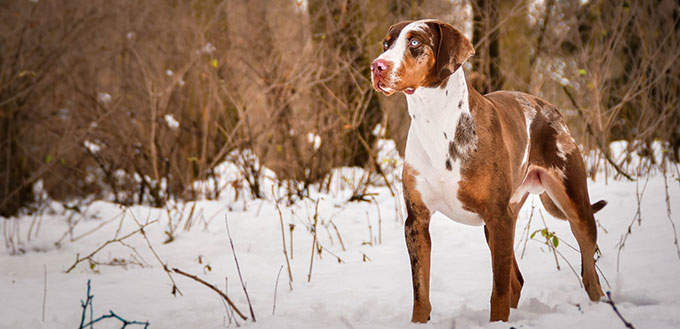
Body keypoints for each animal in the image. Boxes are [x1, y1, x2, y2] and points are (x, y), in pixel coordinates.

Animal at [372, 19, 604, 320]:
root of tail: (550, 108)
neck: (436, 121)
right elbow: (420, 293)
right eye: (386, 44)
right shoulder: (417, 221)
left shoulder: (497, 216)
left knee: (589, 273)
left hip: (574, 207)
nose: (377, 66)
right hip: (501, 221)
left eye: (414, 42)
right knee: (517, 280)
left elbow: (499, 292)